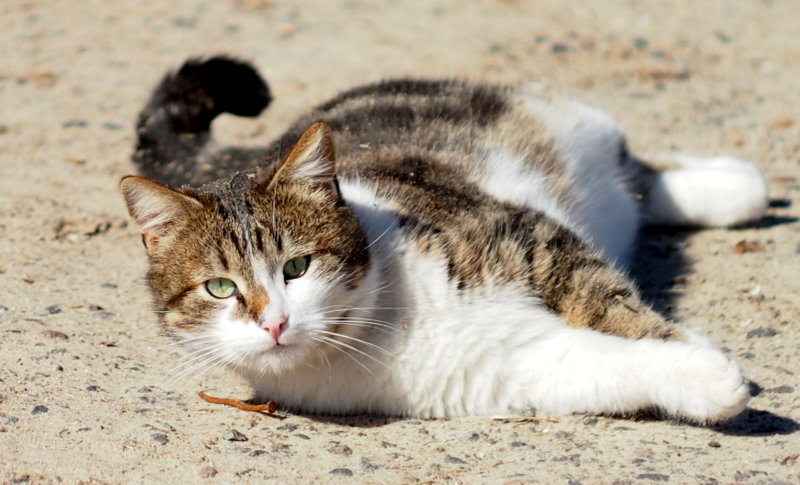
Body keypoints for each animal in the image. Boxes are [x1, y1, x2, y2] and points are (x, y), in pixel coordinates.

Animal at [120, 54, 768, 422]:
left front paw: (694, 349)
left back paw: (736, 187)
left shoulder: (529, 237)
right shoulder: (512, 370)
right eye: (220, 288)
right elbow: (600, 365)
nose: (275, 322)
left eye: (297, 267)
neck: (381, 327)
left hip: (562, 134)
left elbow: (609, 303)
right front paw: (704, 379)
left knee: (635, 173)